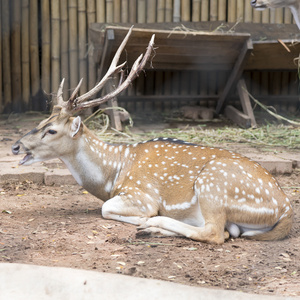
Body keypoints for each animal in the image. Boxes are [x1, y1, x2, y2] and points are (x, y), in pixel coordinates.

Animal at [12, 28, 292, 245]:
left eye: (51, 130)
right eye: (40, 122)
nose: (15, 146)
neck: (112, 176)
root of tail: (286, 210)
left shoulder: (140, 195)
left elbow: (106, 208)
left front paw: (144, 218)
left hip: (213, 184)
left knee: (215, 232)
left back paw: (152, 224)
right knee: (226, 231)